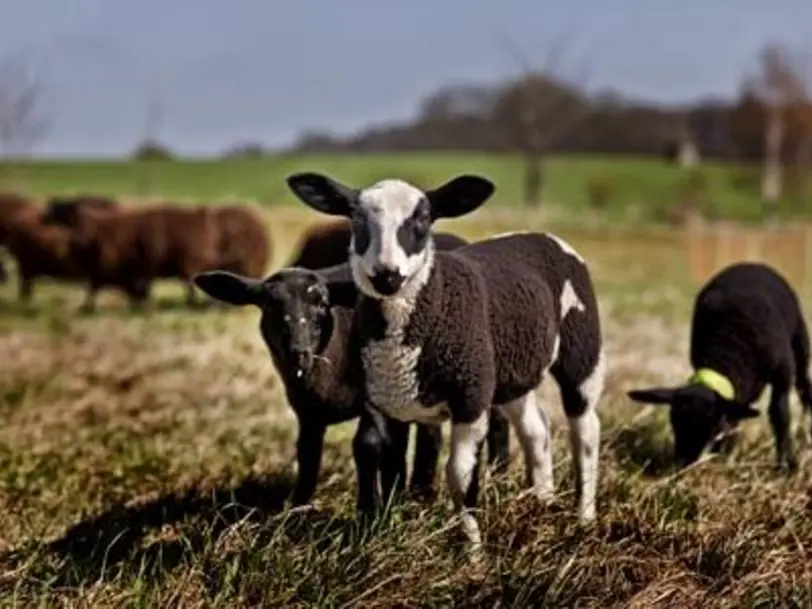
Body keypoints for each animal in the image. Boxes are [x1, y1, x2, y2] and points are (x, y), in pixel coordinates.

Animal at [628, 262, 812, 470]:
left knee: (804, 386)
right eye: (674, 422)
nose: (685, 464)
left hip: (800, 341)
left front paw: (788, 464)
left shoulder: (783, 371)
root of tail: (750, 264)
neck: (729, 347)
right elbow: (733, 417)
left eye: (711, 426)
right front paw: (724, 453)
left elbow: (779, 414)